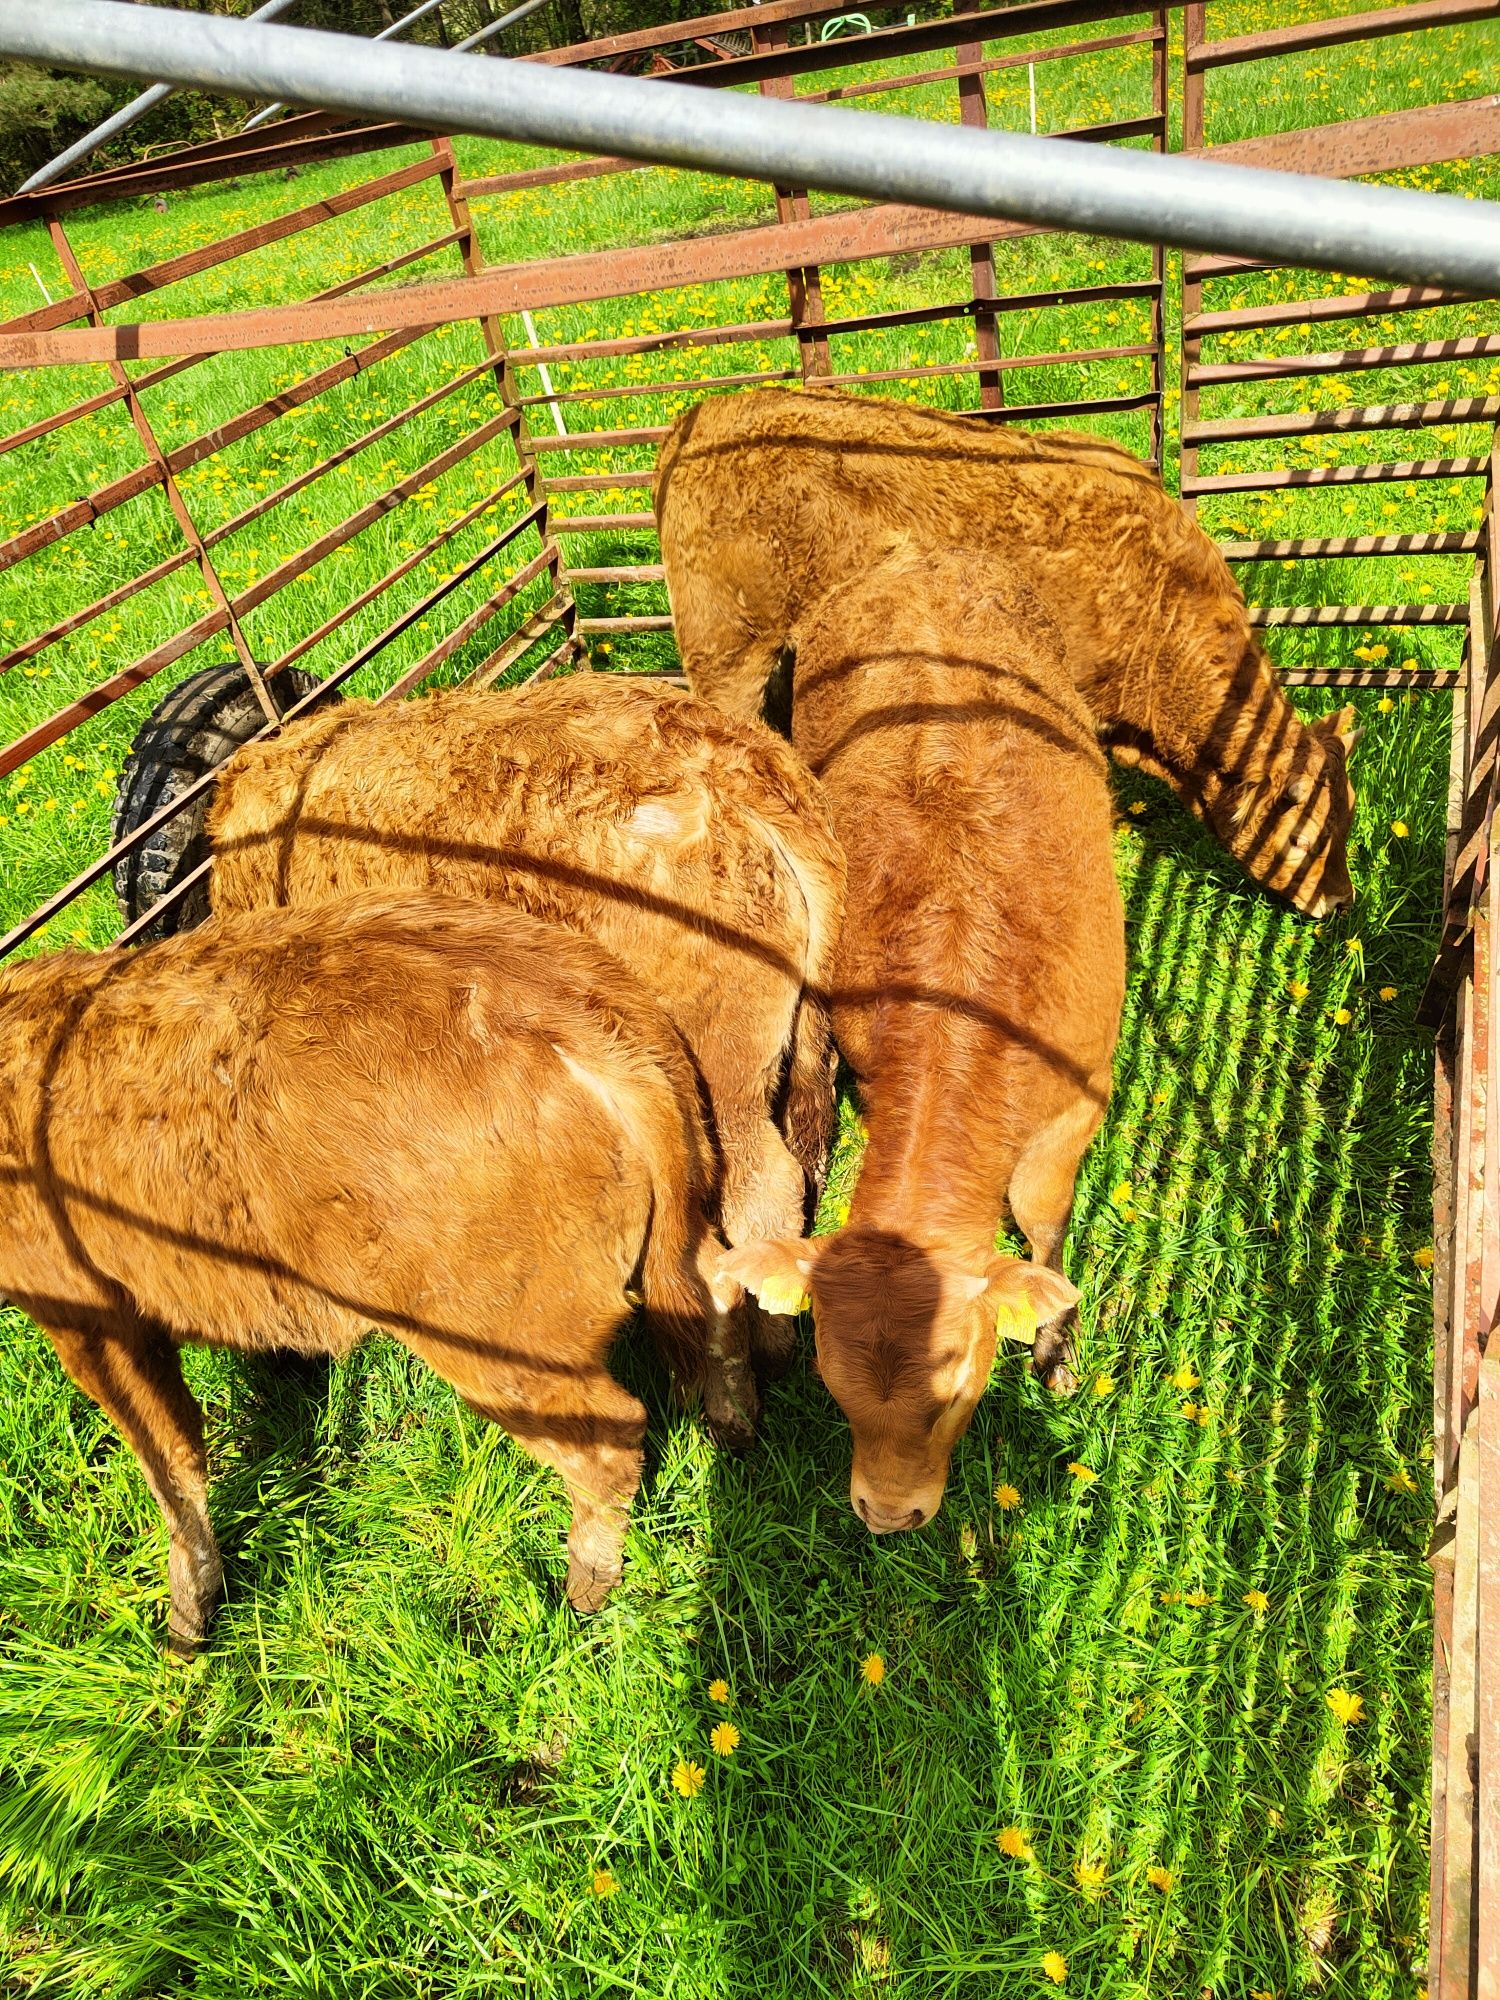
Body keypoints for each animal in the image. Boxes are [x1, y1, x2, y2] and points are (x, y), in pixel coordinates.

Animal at [2, 900, 744, 1648]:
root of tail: (592, 1023)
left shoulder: (88, 1311)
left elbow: (169, 1456)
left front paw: (188, 1618)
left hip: (498, 1337)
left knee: (611, 1437)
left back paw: (586, 1585)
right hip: (674, 1238)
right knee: (721, 1293)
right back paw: (734, 1430)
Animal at [724, 544, 1120, 1528]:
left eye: (958, 1394)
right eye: (835, 1390)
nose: (886, 1513)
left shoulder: (1077, 1108)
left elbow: (1044, 1222)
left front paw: (1056, 1352)